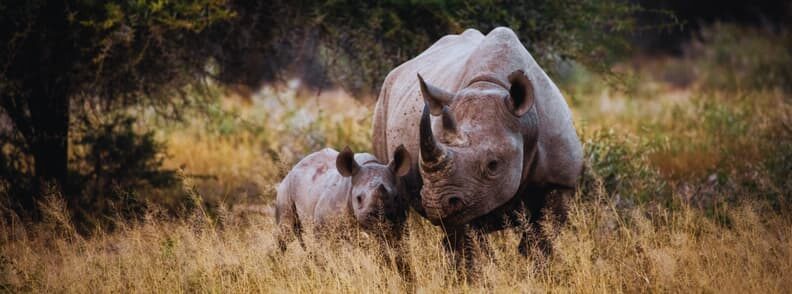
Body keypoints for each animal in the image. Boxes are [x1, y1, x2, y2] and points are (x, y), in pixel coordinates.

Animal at [276, 145, 412, 250]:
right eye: (358, 198)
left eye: (395, 197)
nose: (378, 218)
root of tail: (295, 166)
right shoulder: (323, 227)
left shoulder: (398, 225)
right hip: (285, 188)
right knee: (286, 232)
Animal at [372, 26, 580, 274]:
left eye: (493, 165)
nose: (435, 203)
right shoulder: (465, 194)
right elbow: (472, 247)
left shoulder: (560, 182)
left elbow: (540, 240)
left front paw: (537, 274)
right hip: (382, 103)